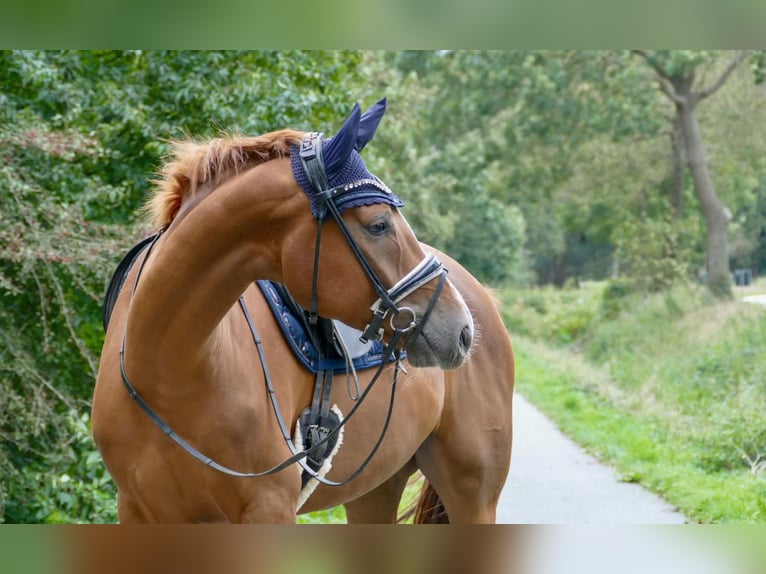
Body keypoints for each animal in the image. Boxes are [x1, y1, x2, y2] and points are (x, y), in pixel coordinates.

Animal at [94, 100, 516, 528]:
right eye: (378, 225)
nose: (462, 330)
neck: (170, 373)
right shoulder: (137, 510)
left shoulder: (269, 508)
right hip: (376, 490)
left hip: (473, 497)